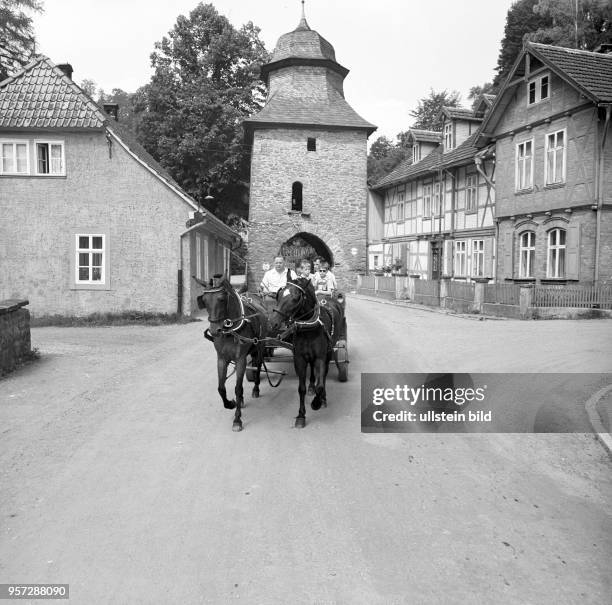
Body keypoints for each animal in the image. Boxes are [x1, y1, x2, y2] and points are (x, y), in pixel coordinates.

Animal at [195, 274, 268, 430]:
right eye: (204, 300)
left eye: (222, 299)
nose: (215, 331)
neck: (230, 331)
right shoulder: (222, 359)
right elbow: (221, 388)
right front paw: (230, 403)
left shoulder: (240, 360)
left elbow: (238, 388)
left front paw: (237, 419)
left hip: (260, 346)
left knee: (258, 365)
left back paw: (256, 389)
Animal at [272, 276, 344, 428]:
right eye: (279, 294)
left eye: (296, 298)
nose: (273, 322)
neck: (308, 328)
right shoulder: (299, 358)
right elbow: (301, 388)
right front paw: (301, 415)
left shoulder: (320, 358)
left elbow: (320, 385)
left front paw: (317, 402)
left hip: (329, 352)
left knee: (324, 375)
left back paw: (322, 398)